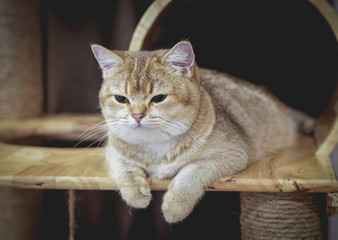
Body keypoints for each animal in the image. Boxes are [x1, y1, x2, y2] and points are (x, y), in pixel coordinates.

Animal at [90, 40, 314, 222]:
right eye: (121, 99)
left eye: (158, 98)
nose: (137, 115)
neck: (156, 146)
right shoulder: (112, 149)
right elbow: (123, 166)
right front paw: (135, 193)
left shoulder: (232, 155)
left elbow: (192, 170)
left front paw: (175, 204)